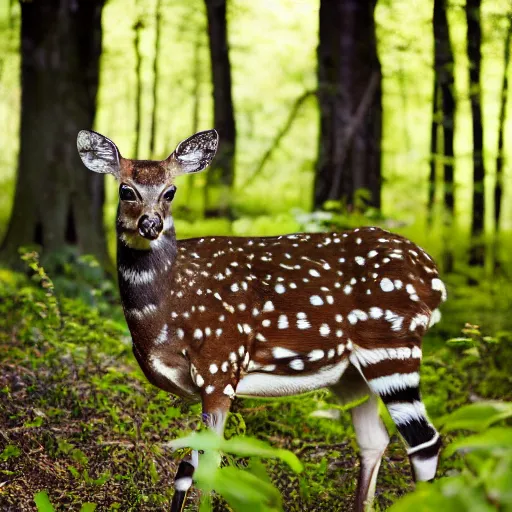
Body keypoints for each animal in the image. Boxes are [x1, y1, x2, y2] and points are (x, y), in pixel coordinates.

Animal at [77, 128, 448, 512]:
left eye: (170, 191)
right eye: (126, 190)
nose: (151, 224)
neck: (164, 312)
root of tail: (434, 278)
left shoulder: (220, 365)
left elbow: (210, 462)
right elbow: (186, 466)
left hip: (392, 346)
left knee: (424, 441)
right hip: (352, 375)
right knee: (375, 439)